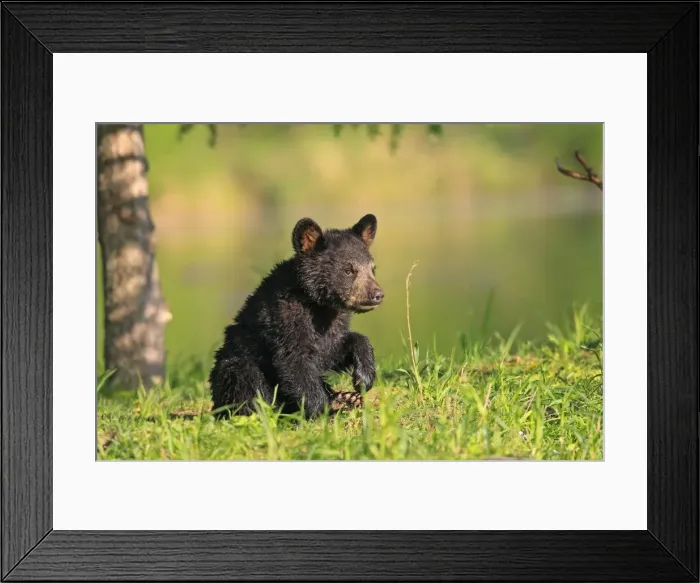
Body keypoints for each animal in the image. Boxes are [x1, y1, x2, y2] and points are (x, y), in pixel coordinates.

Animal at [208, 213, 384, 420]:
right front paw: (323, 411)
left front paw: (364, 376)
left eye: (372, 269)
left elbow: (334, 349)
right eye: (348, 270)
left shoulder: (332, 324)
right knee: (245, 377)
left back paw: (346, 398)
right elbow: (294, 362)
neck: (318, 305)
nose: (377, 295)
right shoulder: (285, 319)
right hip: (232, 368)